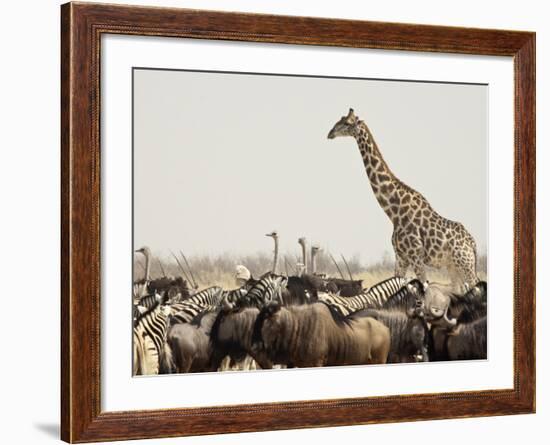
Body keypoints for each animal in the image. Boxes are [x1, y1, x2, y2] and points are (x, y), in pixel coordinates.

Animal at [330, 107, 480, 288]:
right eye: (340, 119)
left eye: (347, 123)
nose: (330, 133)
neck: (394, 212)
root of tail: (472, 243)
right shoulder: (401, 257)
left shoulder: (416, 256)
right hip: (453, 268)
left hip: (466, 265)